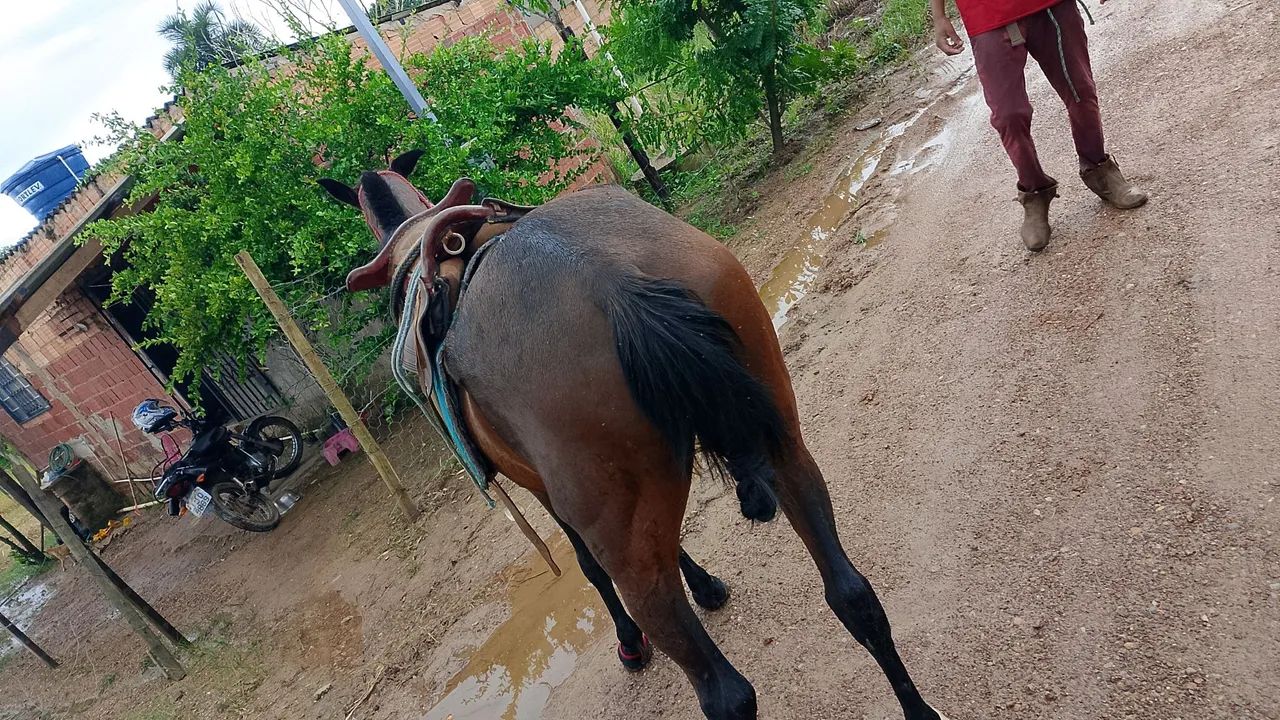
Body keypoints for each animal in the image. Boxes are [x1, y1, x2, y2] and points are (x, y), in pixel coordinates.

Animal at [318, 150, 949, 720]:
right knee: (853, 595)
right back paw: (916, 707)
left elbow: (588, 566)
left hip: (625, 544)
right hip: (783, 441)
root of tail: (609, 285)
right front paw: (707, 586)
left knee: (725, 695)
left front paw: (632, 639)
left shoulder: (542, 489)